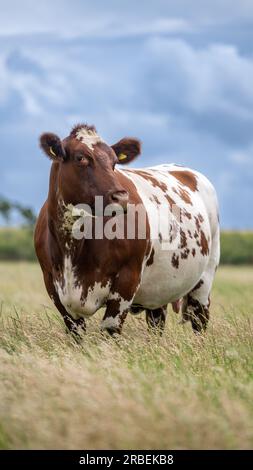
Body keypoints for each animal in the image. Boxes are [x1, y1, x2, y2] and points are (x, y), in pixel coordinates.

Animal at [34, 124, 219, 338]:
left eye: (114, 162)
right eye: (81, 158)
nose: (121, 197)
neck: (72, 247)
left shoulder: (127, 281)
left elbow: (110, 330)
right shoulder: (54, 287)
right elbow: (75, 332)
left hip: (205, 279)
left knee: (200, 320)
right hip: (159, 289)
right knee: (157, 322)